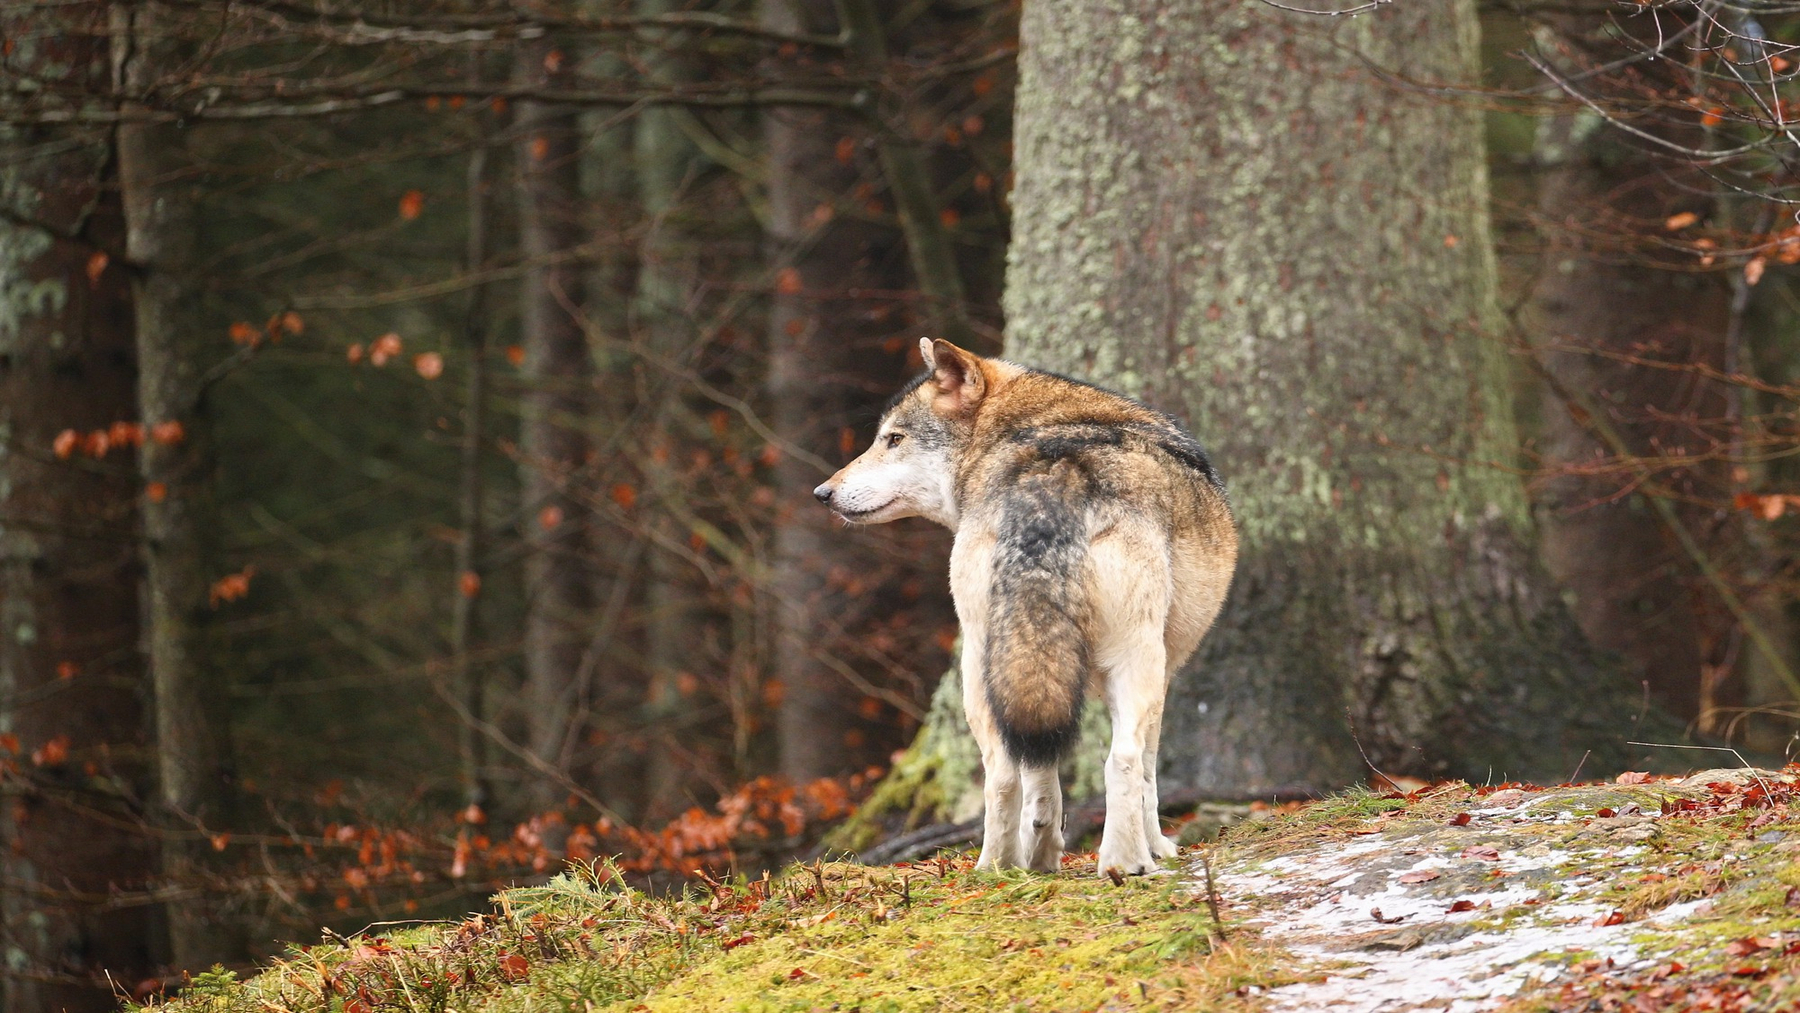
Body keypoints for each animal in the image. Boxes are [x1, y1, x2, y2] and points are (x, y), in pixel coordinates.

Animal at [814, 338, 1238, 877]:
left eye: (894, 439)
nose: (822, 493)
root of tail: (1050, 480)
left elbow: (1040, 775)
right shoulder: (1163, 675)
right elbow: (1147, 774)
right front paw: (1160, 846)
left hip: (986, 666)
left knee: (1005, 773)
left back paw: (1005, 865)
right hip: (1134, 659)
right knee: (1120, 759)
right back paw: (1126, 863)